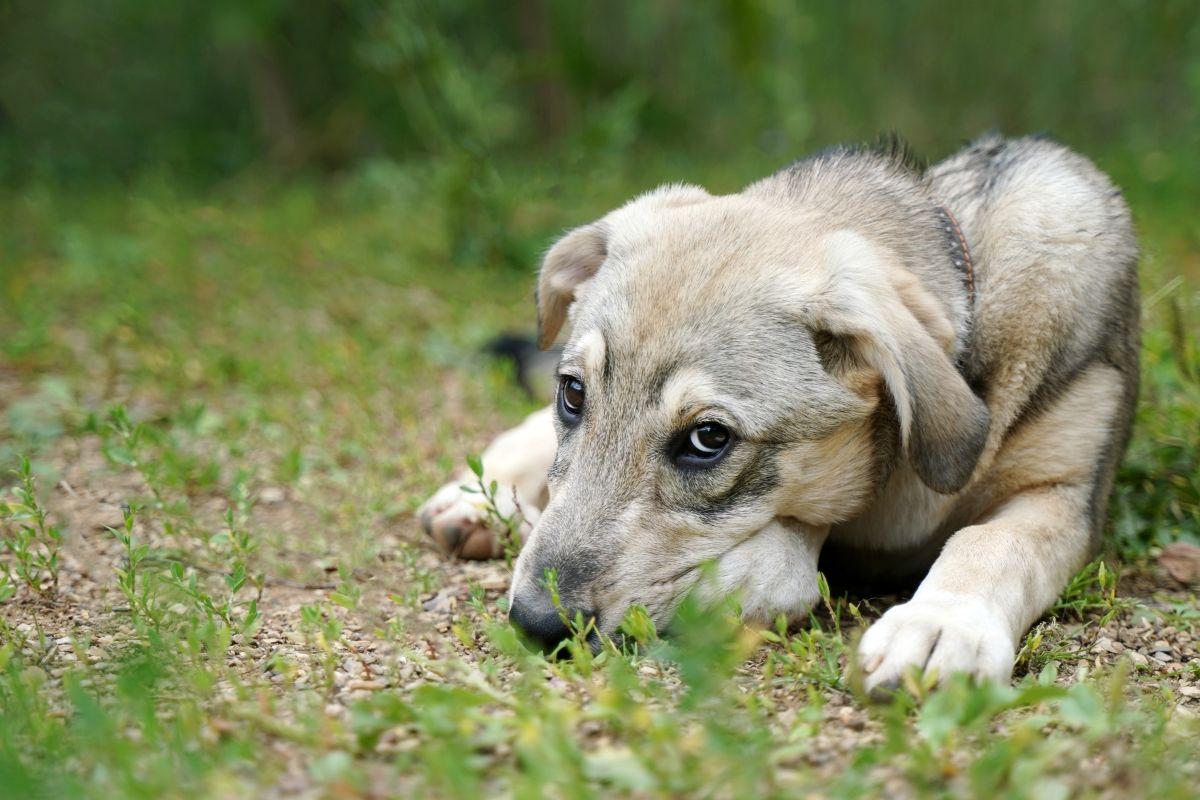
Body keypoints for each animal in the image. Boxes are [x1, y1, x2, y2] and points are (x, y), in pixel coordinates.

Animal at [417, 134, 1137, 690]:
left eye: (708, 438)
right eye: (573, 394)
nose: (536, 625)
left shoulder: (1065, 495)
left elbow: (990, 541)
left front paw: (939, 626)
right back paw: (476, 499)